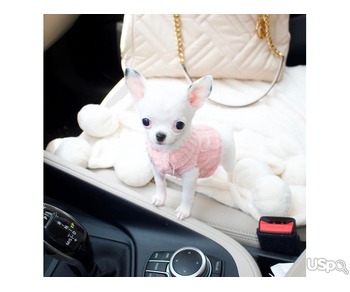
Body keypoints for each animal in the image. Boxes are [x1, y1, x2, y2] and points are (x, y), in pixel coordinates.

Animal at [124, 68, 237, 219]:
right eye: (145, 121)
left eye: (179, 125)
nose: (160, 135)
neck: (167, 150)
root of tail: (224, 127)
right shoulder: (157, 169)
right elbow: (160, 185)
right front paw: (160, 198)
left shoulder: (190, 176)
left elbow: (187, 196)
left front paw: (184, 211)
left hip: (229, 158)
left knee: (230, 170)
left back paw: (230, 181)